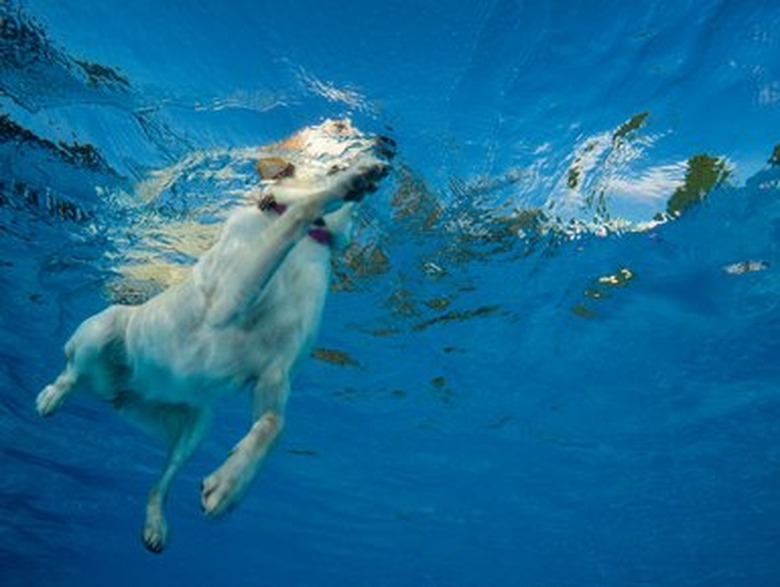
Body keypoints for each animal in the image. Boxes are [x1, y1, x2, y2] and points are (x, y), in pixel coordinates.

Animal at [33, 120, 394, 556]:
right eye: (338, 126)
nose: (391, 143)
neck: (312, 242)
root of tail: (116, 393)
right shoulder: (229, 298)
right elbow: (301, 211)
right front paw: (350, 181)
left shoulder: (276, 375)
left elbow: (273, 424)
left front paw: (230, 484)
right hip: (103, 327)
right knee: (72, 369)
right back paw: (53, 396)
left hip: (197, 425)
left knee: (160, 484)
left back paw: (156, 525)